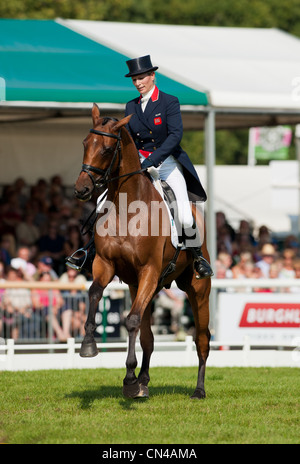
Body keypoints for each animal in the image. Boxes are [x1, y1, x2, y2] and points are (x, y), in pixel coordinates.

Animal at [74, 104, 211, 398]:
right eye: (85, 143)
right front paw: (89, 344)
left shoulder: (149, 270)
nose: (82, 189)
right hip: (143, 286)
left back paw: (198, 389)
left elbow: (131, 321)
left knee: (202, 338)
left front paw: (129, 379)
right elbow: (94, 294)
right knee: (148, 337)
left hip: (197, 289)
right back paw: (144, 382)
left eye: (106, 149)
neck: (127, 209)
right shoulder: (105, 265)